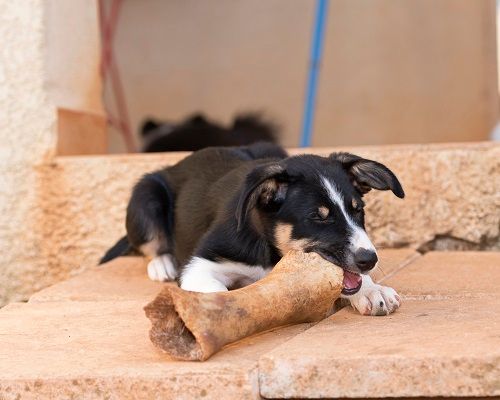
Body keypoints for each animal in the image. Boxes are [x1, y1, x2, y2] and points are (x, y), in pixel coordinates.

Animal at [102, 143, 406, 316]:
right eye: (317, 217)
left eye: (358, 210)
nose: (370, 260)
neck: (270, 251)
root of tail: (177, 163)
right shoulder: (198, 265)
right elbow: (217, 292)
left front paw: (372, 290)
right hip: (145, 195)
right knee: (150, 243)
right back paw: (161, 263)